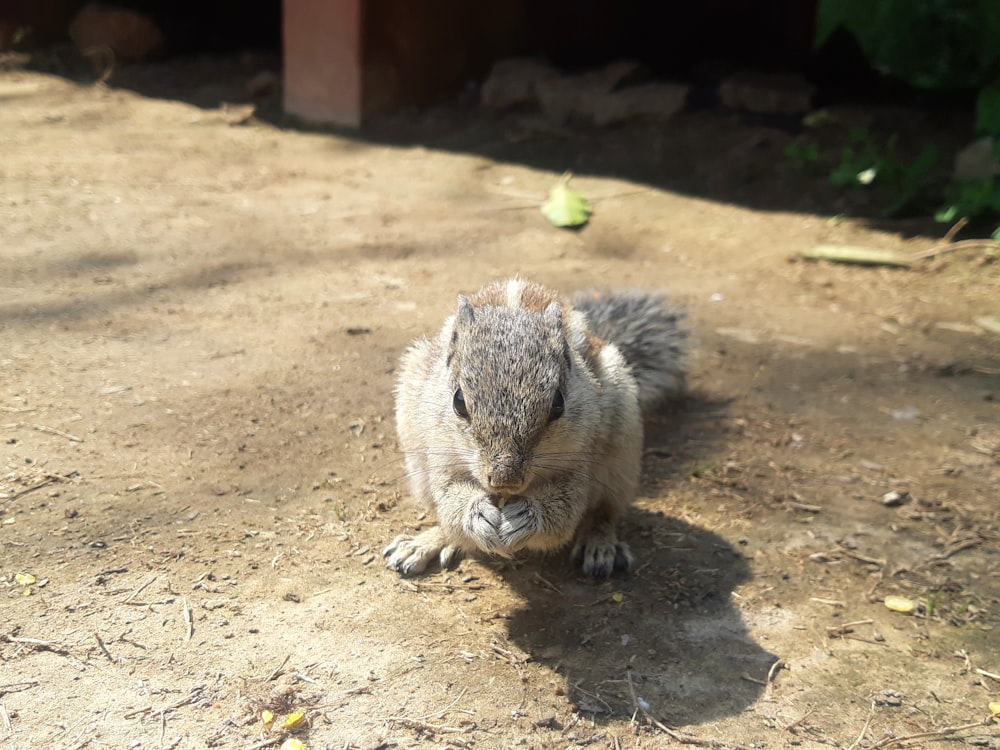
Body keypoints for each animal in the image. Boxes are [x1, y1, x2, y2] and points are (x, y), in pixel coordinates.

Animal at [382, 280, 688, 580]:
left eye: (558, 403)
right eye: (459, 401)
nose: (505, 480)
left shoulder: (577, 462)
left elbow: (563, 515)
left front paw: (528, 517)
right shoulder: (441, 455)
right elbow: (449, 500)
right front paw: (476, 515)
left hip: (621, 455)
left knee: (605, 512)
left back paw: (601, 544)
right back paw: (426, 543)